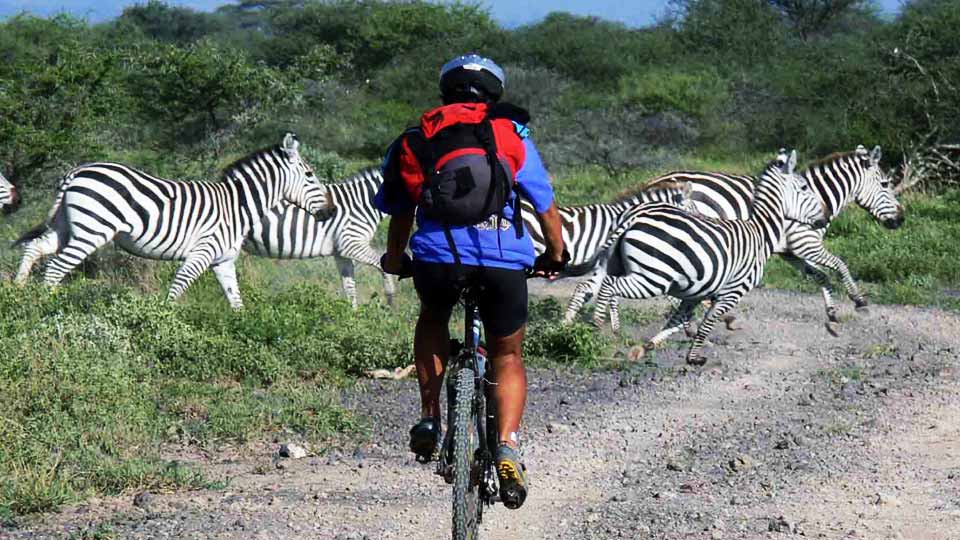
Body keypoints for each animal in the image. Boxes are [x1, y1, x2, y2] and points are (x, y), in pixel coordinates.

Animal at [13, 133, 333, 309]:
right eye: (310, 175)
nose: (329, 212)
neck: (238, 206)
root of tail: (77, 171)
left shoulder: (223, 261)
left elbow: (236, 301)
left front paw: (243, 332)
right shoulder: (201, 253)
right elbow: (177, 289)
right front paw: (164, 323)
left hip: (67, 227)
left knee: (35, 249)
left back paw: (18, 296)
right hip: (92, 231)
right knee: (56, 268)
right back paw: (46, 307)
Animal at [243, 167, 396, 308]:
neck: (361, 204)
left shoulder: (341, 253)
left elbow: (350, 287)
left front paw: (353, 316)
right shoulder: (351, 244)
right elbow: (383, 267)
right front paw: (390, 303)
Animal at [587, 150, 828, 366]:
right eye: (805, 187)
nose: (825, 218)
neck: (761, 232)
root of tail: (635, 216)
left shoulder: (694, 293)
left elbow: (676, 320)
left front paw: (645, 348)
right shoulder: (732, 291)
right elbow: (707, 323)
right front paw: (694, 357)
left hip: (632, 269)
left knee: (604, 284)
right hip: (653, 278)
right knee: (609, 285)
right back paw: (597, 326)